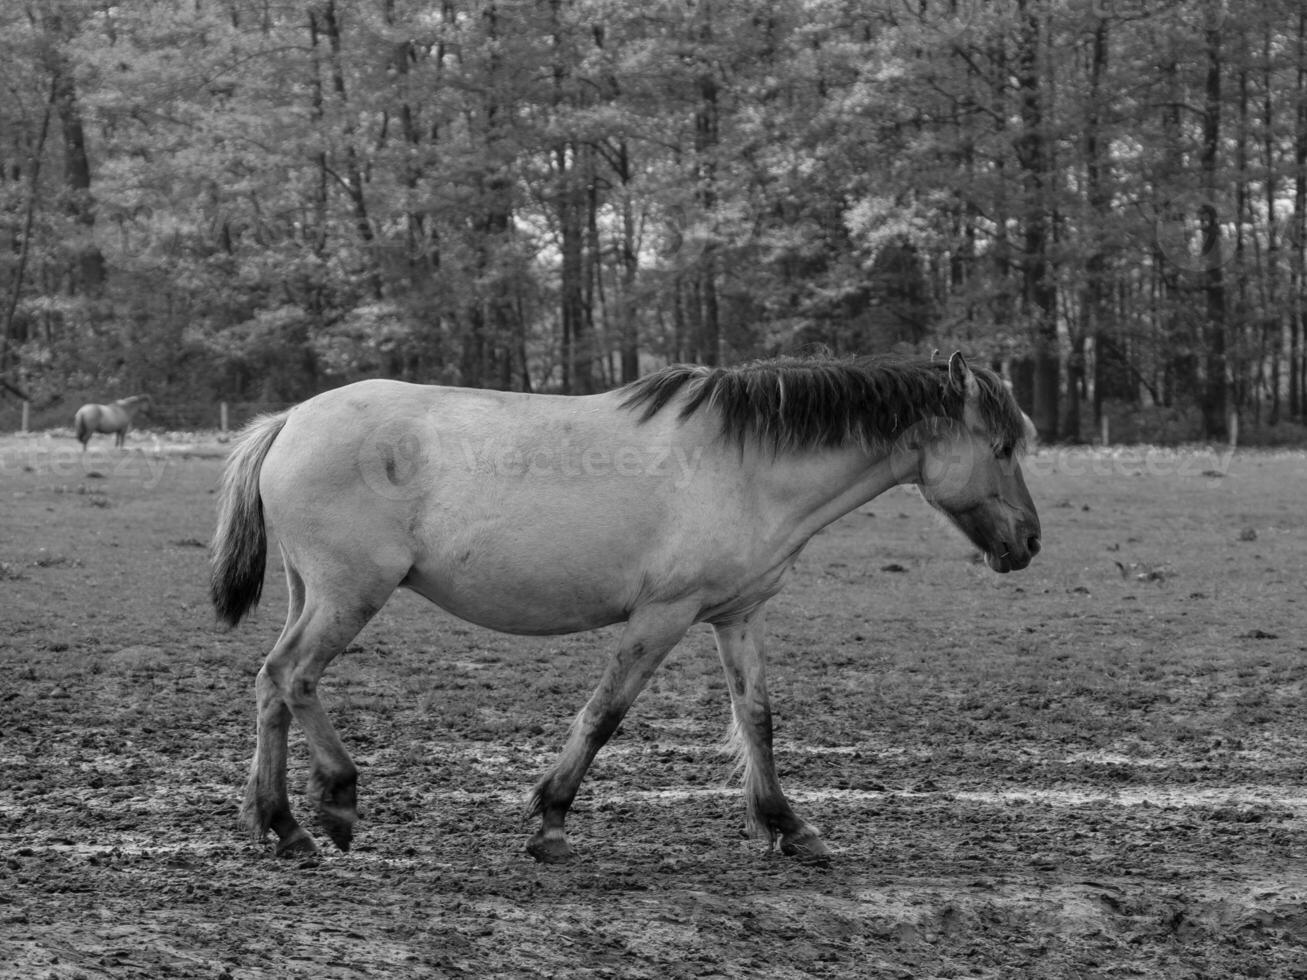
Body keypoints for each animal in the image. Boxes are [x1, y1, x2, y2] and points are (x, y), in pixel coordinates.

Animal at [206, 352, 1040, 867]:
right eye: (1001, 447)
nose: (1028, 542)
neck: (745, 467)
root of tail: (289, 421)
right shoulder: (662, 616)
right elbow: (605, 714)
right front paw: (549, 820)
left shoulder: (735, 615)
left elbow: (757, 720)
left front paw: (788, 826)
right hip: (349, 594)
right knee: (294, 678)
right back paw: (336, 804)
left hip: (311, 593)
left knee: (270, 687)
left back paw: (279, 824)